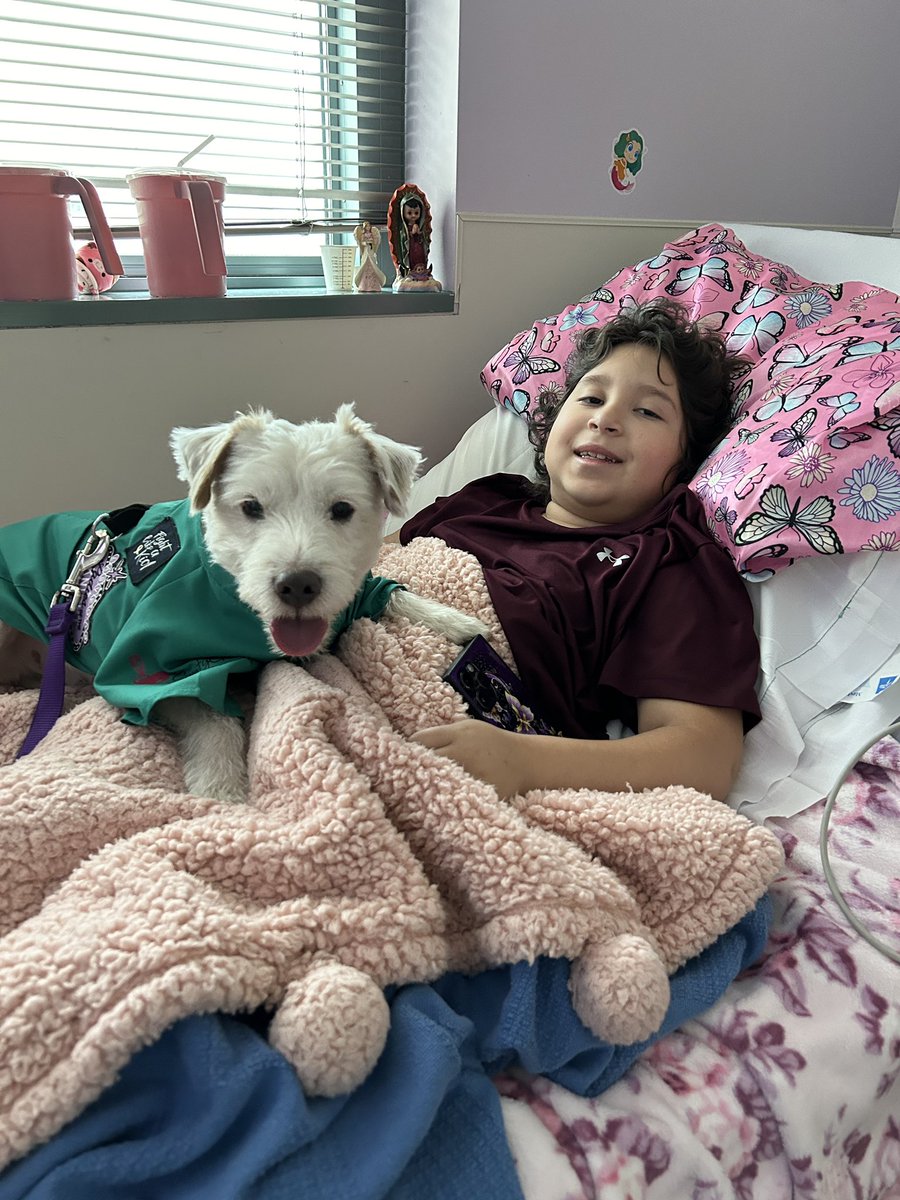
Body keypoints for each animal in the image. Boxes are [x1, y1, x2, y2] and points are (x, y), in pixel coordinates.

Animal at [0, 405, 487, 806]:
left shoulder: (355, 593)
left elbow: (393, 595)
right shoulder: (148, 670)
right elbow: (215, 719)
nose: (297, 585)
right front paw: (222, 789)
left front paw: (457, 622)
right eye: (251, 506)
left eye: (342, 509)